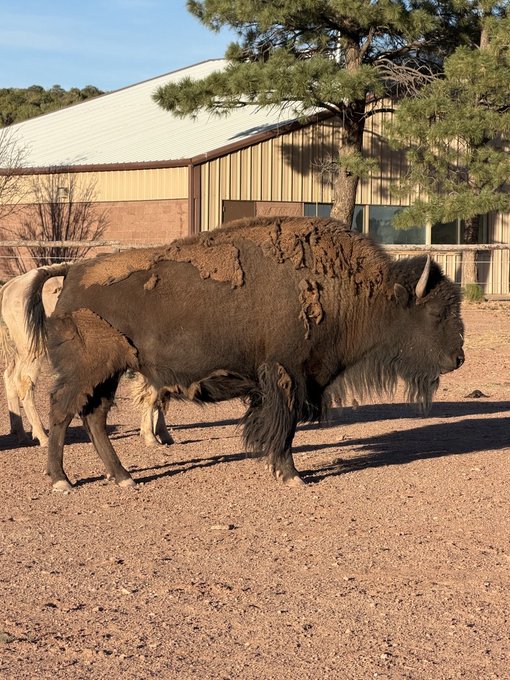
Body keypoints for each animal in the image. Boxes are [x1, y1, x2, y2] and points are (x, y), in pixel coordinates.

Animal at [25, 216, 464, 491]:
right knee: (62, 411)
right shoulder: (288, 376)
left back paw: (123, 477)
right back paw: (61, 480)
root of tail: (72, 271)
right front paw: (291, 475)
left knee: (94, 417)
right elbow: (285, 430)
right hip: (88, 370)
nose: (459, 358)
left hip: (110, 372)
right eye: (437, 312)